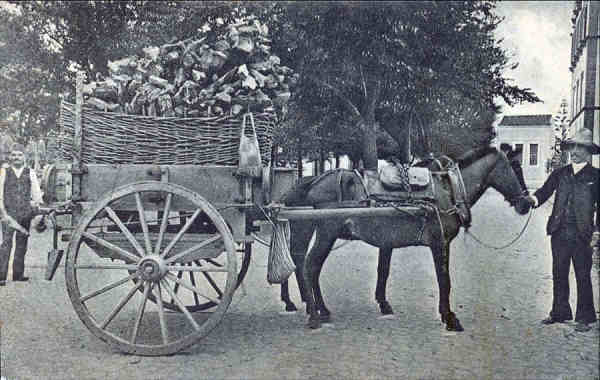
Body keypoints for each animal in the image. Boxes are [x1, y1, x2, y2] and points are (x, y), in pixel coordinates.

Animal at [276, 147, 528, 332]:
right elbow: (444, 281)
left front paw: (385, 304)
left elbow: (383, 271)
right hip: (327, 232)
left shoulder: (387, 242)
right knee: (310, 266)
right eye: (516, 166)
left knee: (308, 265)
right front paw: (449, 317)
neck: (448, 190)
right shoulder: (440, 243)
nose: (528, 202)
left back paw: (318, 309)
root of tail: (316, 180)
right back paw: (315, 315)